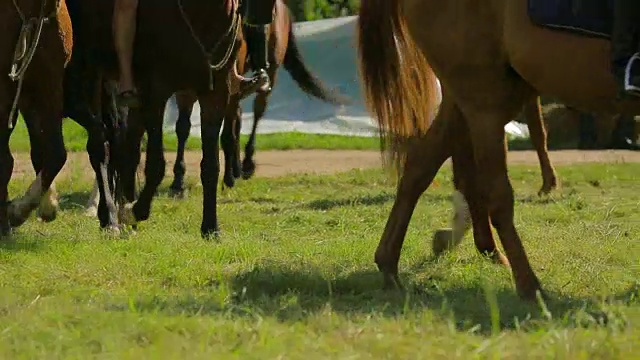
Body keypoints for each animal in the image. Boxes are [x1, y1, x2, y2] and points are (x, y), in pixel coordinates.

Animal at [358, 0, 640, 300]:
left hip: (480, 96)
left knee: (423, 165)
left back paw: (392, 263)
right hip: (484, 99)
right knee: (494, 193)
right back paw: (528, 285)